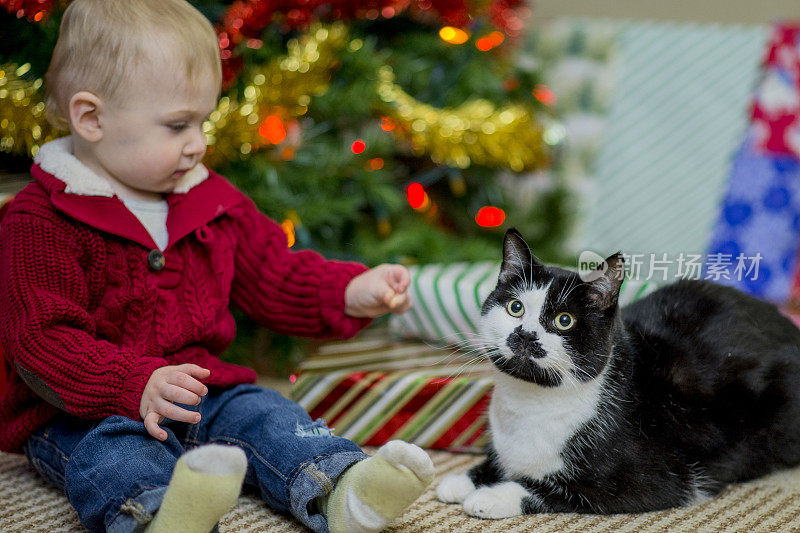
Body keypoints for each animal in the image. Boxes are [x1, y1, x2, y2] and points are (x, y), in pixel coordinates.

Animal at [438, 228, 800, 516]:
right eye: (515, 308)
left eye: (564, 320)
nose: (526, 335)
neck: (530, 402)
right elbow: (499, 461)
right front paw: (462, 480)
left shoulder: (659, 482)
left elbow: (553, 489)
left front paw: (490, 497)